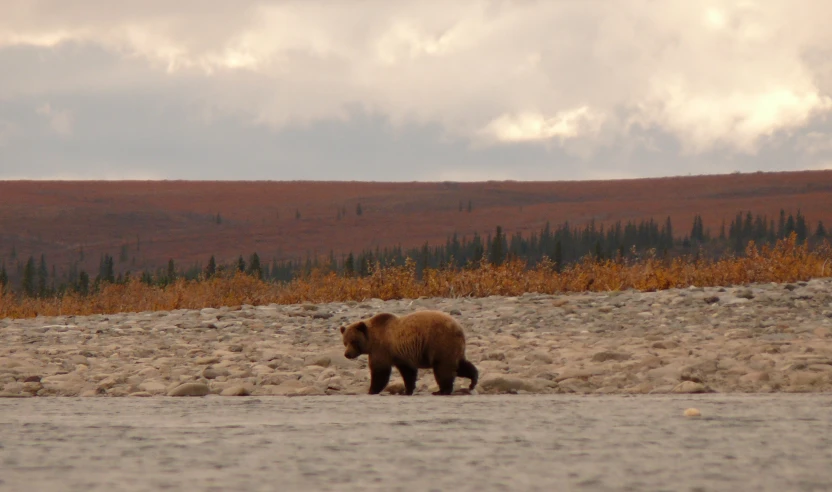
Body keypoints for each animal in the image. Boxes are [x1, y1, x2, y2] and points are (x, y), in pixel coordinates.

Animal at [340, 312, 480, 396]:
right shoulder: (401, 356)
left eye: (354, 341)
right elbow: (408, 373)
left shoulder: (381, 350)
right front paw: (407, 390)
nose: (347, 354)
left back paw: (441, 390)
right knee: (460, 366)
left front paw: (371, 390)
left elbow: (380, 372)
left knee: (443, 369)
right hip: (453, 348)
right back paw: (473, 381)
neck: (371, 340)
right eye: (345, 342)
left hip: (440, 343)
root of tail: (459, 328)